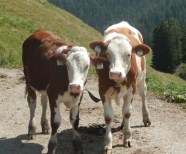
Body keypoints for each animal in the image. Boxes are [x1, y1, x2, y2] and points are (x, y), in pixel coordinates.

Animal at [89, 21, 152, 153]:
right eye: (108, 53)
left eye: (128, 54)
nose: (115, 73)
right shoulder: (102, 90)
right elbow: (108, 117)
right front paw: (107, 143)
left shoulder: (132, 88)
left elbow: (127, 112)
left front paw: (127, 138)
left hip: (142, 78)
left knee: (143, 94)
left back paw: (146, 118)